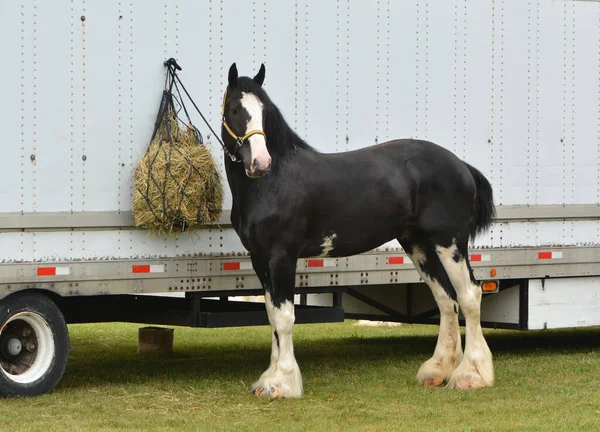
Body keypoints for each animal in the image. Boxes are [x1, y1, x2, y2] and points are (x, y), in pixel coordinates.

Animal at [223, 62, 494, 396]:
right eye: (235, 109)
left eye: (264, 111)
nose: (260, 162)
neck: (272, 182)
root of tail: (461, 166)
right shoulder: (260, 259)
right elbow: (272, 316)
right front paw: (270, 379)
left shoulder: (282, 257)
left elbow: (285, 317)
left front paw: (282, 382)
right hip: (419, 245)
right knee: (446, 299)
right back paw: (438, 370)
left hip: (450, 242)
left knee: (469, 295)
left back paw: (471, 375)